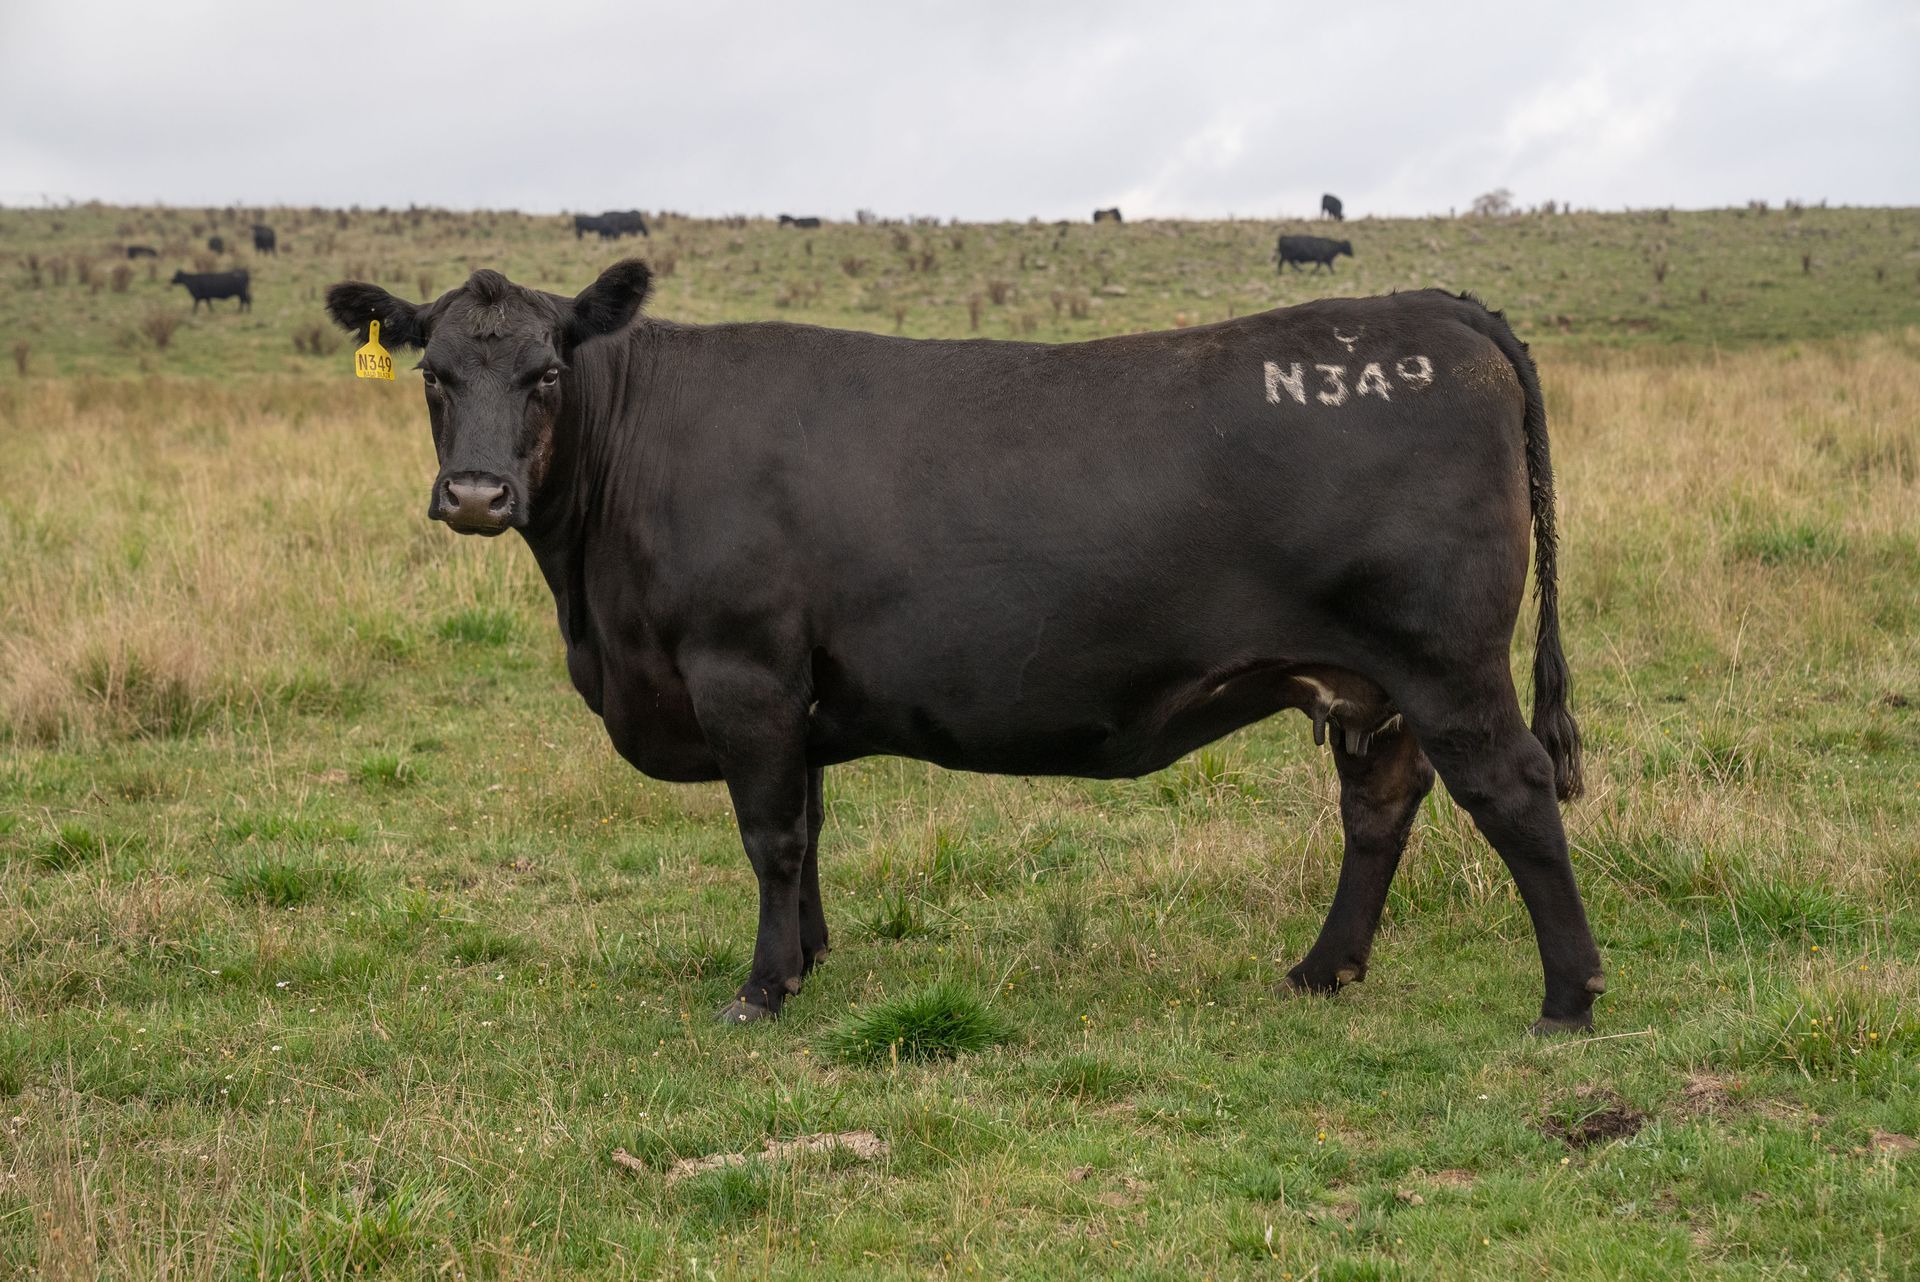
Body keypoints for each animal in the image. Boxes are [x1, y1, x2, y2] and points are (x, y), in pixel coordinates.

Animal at [323, 261, 1605, 1036]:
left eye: (545, 372)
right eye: (434, 374)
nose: (475, 493)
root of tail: (1438, 305)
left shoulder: (742, 671)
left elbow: (769, 834)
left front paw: (763, 987)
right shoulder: (797, 693)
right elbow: (809, 826)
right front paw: (812, 957)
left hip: (1444, 659)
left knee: (1514, 789)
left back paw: (1569, 994)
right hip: (1369, 682)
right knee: (1380, 807)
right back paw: (1321, 969)